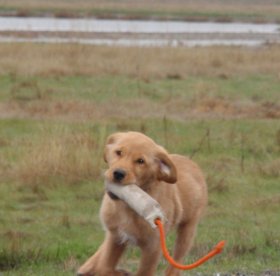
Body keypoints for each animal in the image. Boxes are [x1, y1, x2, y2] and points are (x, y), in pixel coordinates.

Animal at [77, 132, 207, 276]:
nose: (118, 173)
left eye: (140, 161)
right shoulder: (116, 237)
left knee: (176, 263)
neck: (127, 207)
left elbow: (143, 272)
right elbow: (103, 267)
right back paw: (87, 266)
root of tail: (192, 163)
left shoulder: (153, 247)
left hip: (188, 230)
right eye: (119, 152)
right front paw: (118, 272)